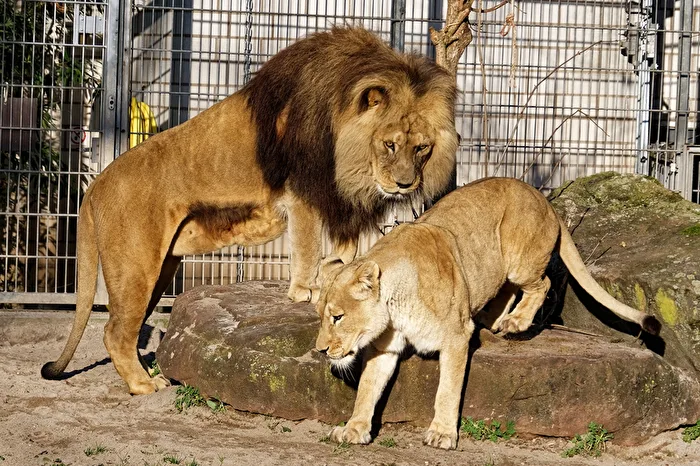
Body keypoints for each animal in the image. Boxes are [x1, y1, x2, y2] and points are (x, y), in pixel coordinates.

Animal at [40, 27, 460, 395]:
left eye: (422, 148)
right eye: (390, 144)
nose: (405, 185)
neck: (347, 152)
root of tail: (96, 183)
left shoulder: (339, 201)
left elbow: (346, 248)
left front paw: (337, 272)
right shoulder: (303, 192)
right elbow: (308, 246)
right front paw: (305, 289)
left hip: (161, 269)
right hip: (136, 268)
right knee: (114, 332)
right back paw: (144, 385)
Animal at [315, 177, 661, 450]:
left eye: (338, 317)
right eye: (321, 316)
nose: (320, 349)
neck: (394, 305)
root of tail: (544, 199)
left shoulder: (456, 337)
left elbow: (448, 390)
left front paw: (442, 435)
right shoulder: (384, 348)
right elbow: (367, 390)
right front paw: (354, 429)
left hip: (521, 262)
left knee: (543, 283)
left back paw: (516, 321)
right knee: (506, 288)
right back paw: (493, 320)